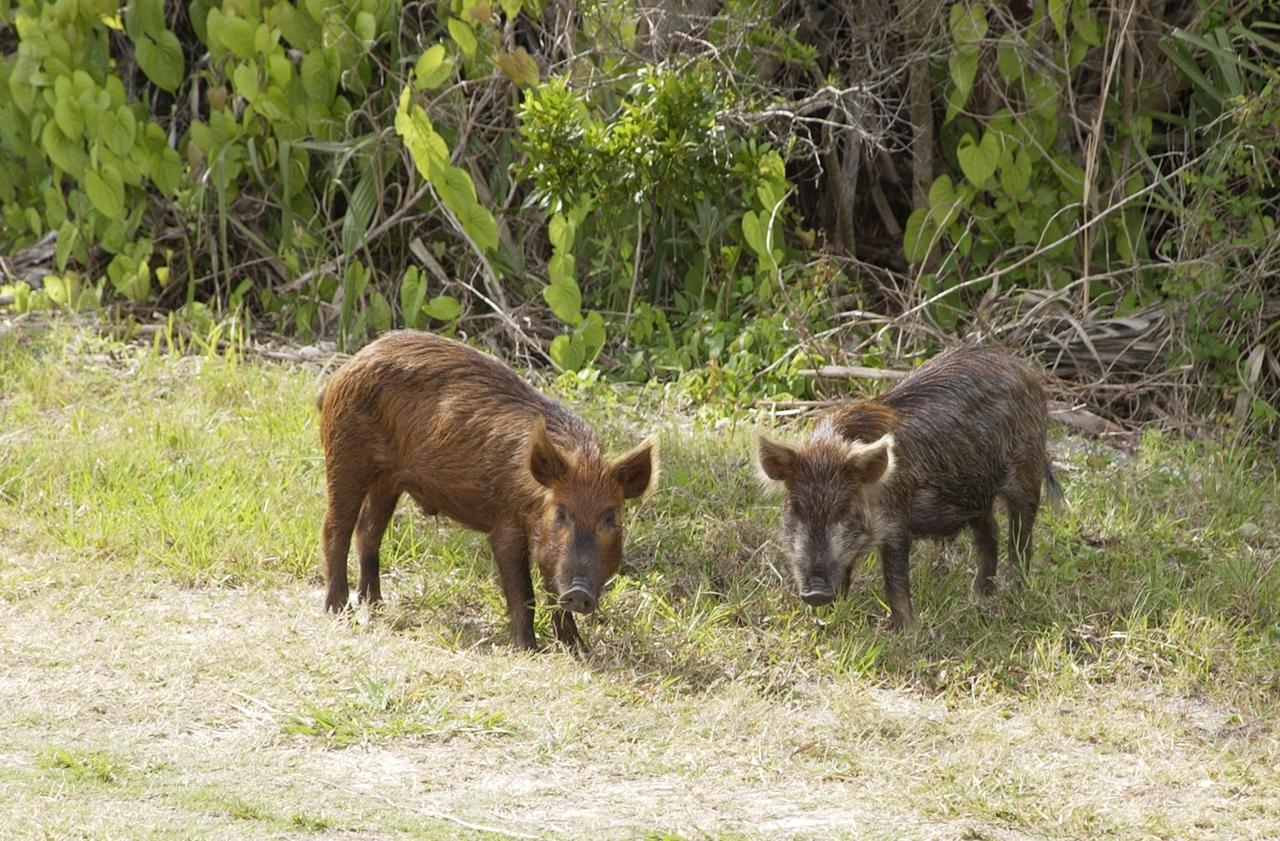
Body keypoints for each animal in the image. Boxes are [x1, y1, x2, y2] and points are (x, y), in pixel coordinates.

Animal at [316, 331, 658, 650]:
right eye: (561, 513)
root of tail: (346, 367)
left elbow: (552, 591)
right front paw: (527, 650)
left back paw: (375, 604)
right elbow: (523, 592)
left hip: (388, 479)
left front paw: (578, 650)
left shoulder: (547, 546)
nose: (579, 592)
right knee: (335, 528)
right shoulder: (505, 526)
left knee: (368, 531)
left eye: (611, 518)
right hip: (346, 454)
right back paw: (340, 610)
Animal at [756, 345, 1063, 629]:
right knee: (990, 534)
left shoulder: (896, 524)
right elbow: (845, 572)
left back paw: (1014, 593)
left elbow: (895, 579)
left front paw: (903, 630)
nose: (816, 593)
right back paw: (981, 596)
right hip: (977, 496)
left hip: (1026, 474)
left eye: (844, 509)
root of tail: (1027, 371)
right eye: (796, 508)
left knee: (1021, 539)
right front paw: (826, 619)